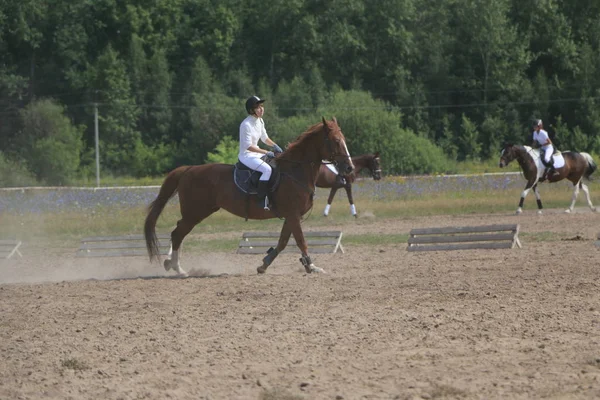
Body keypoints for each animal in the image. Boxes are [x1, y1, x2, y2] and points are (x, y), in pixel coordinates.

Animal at [144, 117, 354, 276]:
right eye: (336, 141)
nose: (349, 168)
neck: (295, 171)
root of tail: (188, 169)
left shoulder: (291, 216)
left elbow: (283, 242)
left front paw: (264, 264)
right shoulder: (293, 214)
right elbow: (301, 241)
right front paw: (311, 266)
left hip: (196, 212)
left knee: (178, 233)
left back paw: (171, 264)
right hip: (195, 213)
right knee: (177, 233)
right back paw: (177, 268)